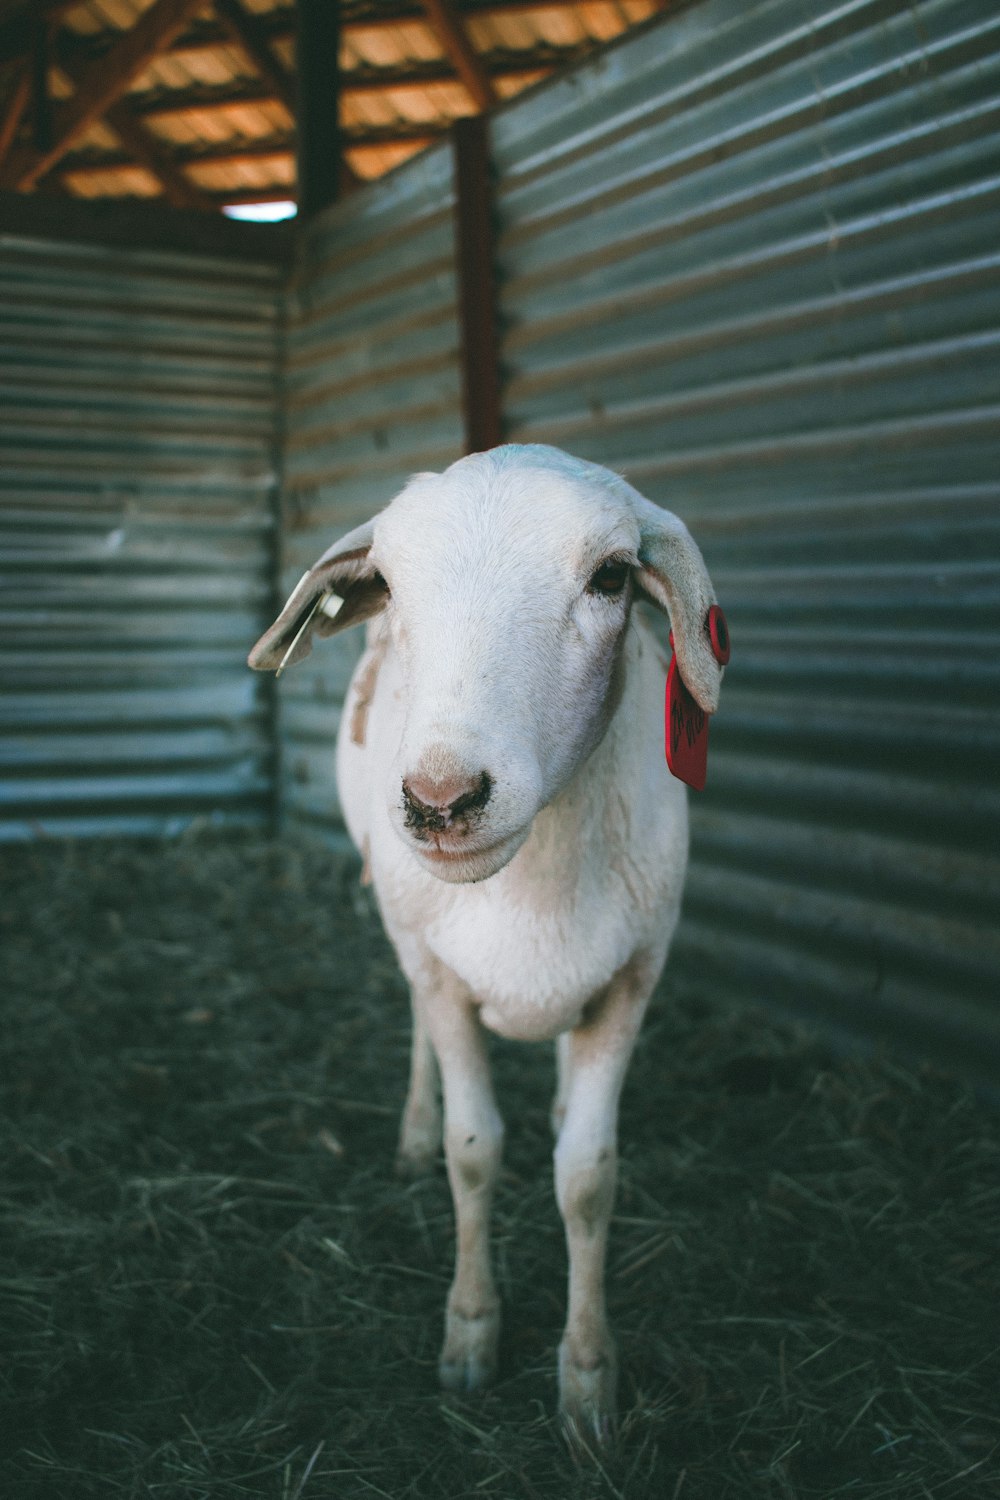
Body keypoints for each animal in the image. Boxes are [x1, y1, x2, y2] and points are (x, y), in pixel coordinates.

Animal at [250, 444, 728, 1440]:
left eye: (612, 577)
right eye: (390, 584)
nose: (440, 800)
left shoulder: (633, 979)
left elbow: (587, 1177)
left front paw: (588, 1383)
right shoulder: (439, 971)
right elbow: (473, 1154)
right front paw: (470, 1335)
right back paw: (412, 1128)